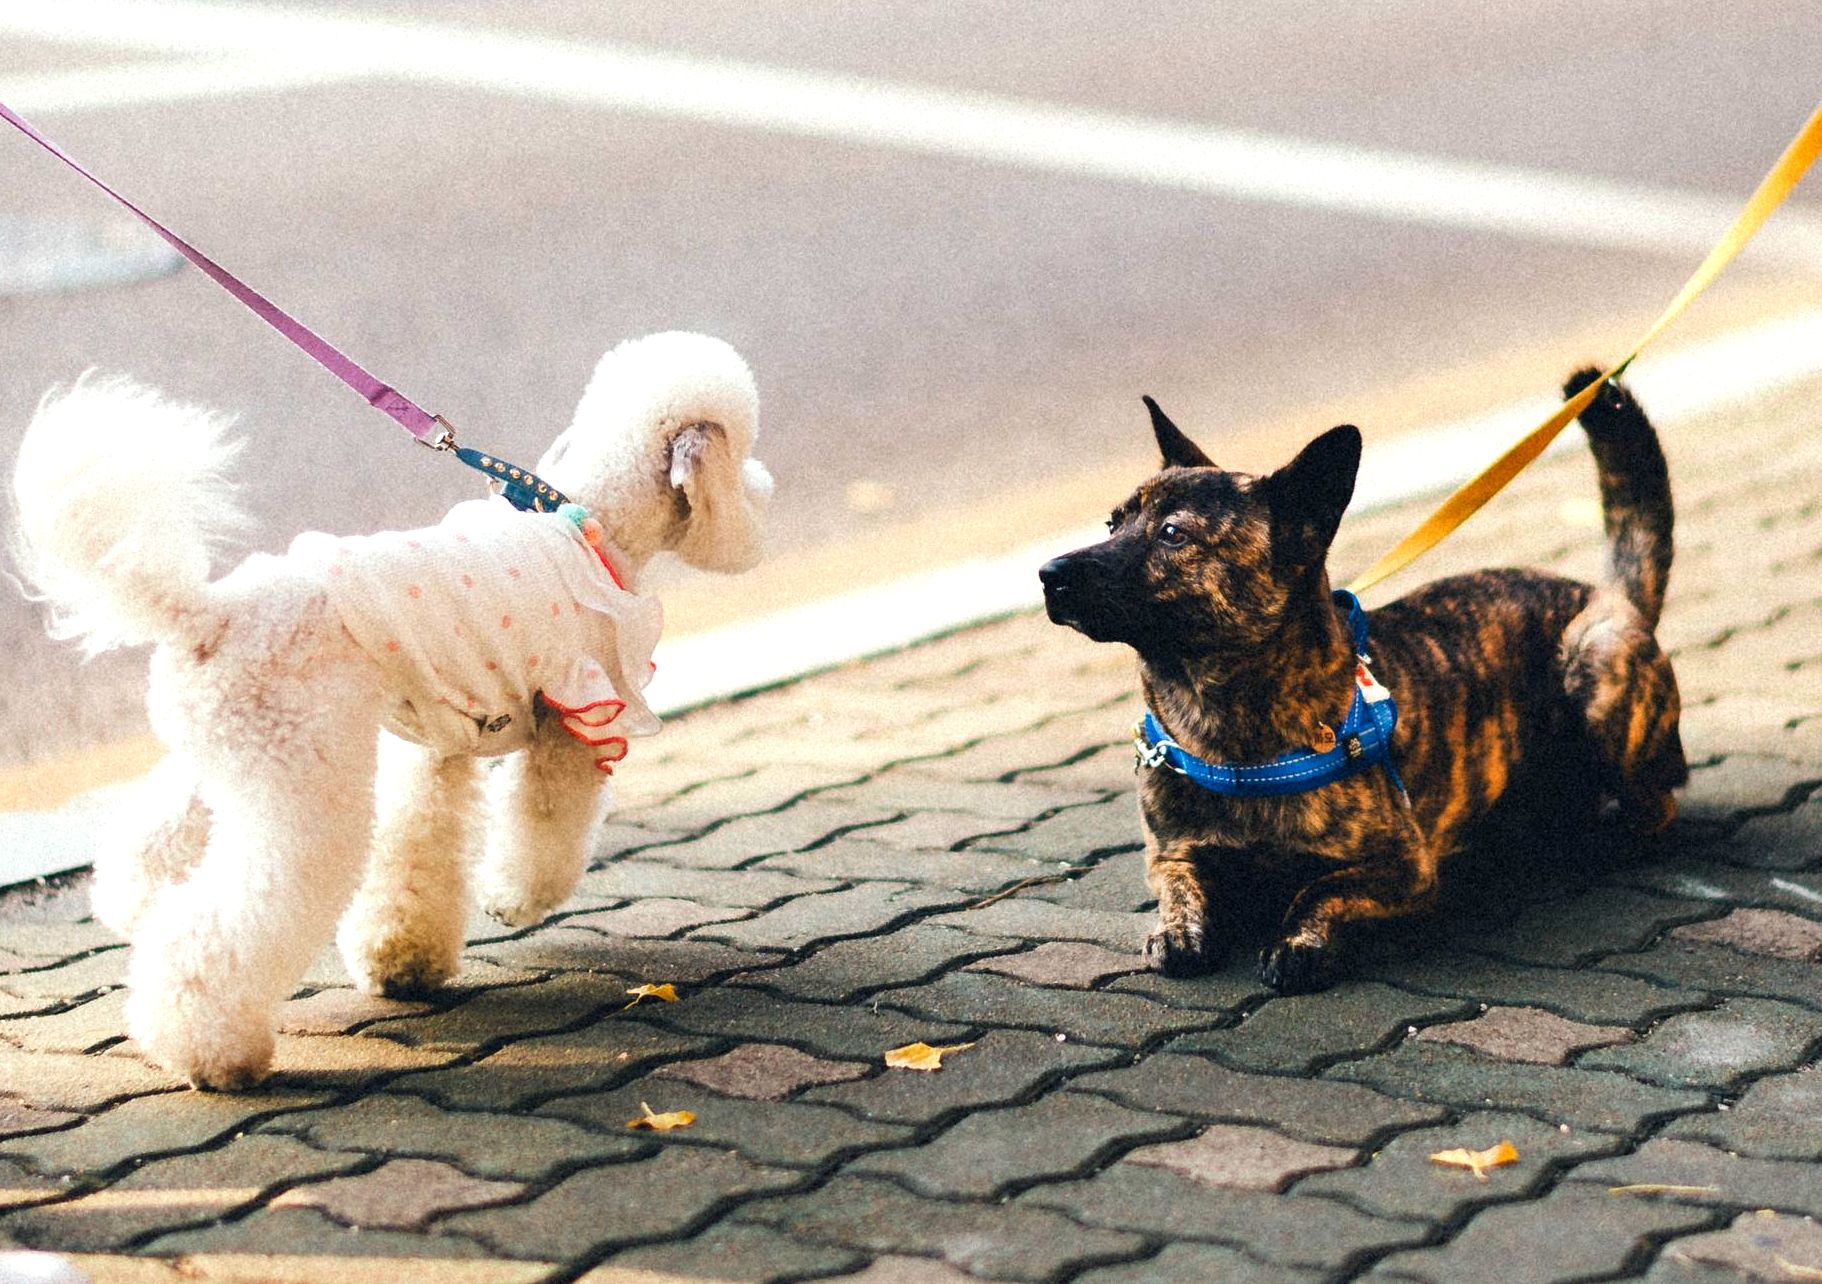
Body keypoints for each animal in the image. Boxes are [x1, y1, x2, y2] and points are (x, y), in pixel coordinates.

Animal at [10, 331, 772, 1088]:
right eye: (741, 448)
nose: (763, 487)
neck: (590, 517)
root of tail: (205, 612)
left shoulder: (435, 740)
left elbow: (416, 843)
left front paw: (402, 960)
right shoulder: (575, 715)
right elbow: (547, 825)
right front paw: (514, 900)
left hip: (233, 758)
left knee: (155, 843)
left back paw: (132, 907)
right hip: (302, 777)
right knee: (221, 925)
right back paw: (213, 1054)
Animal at [1040, 370, 1685, 991]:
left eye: (1173, 534)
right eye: (1113, 523)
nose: (1049, 573)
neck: (1222, 723)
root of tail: (1610, 596)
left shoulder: (1405, 866)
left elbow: (1321, 887)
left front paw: (1300, 942)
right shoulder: (1170, 855)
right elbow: (1180, 887)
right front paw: (1177, 930)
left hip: (1596, 668)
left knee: (1657, 804)